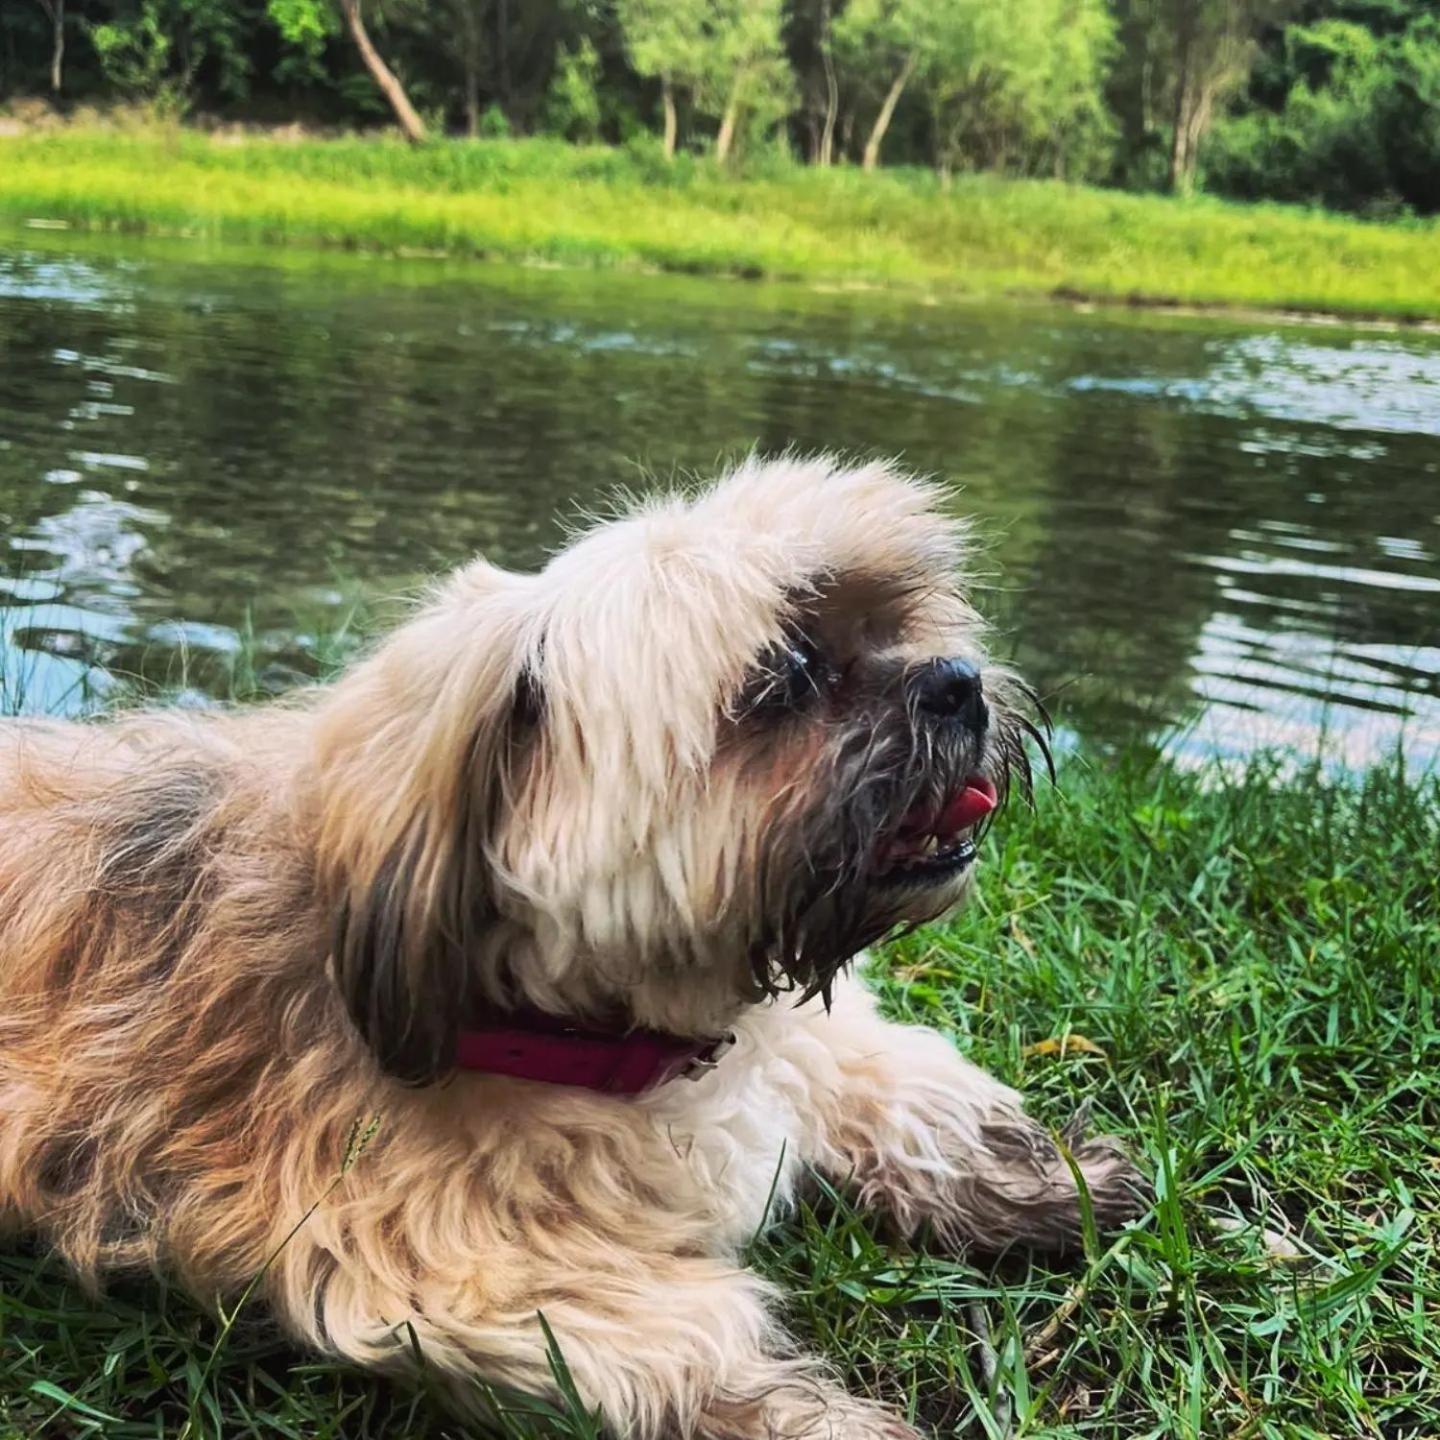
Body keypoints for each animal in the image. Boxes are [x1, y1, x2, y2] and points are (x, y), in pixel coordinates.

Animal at [2, 457, 1146, 1440]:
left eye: (896, 623)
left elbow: (891, 1085)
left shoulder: (800, 1045)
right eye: (783, 675)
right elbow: (686, 1345)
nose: (956, 680)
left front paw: (1049, 1178)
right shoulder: (451, 1263)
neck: (621, 1043)